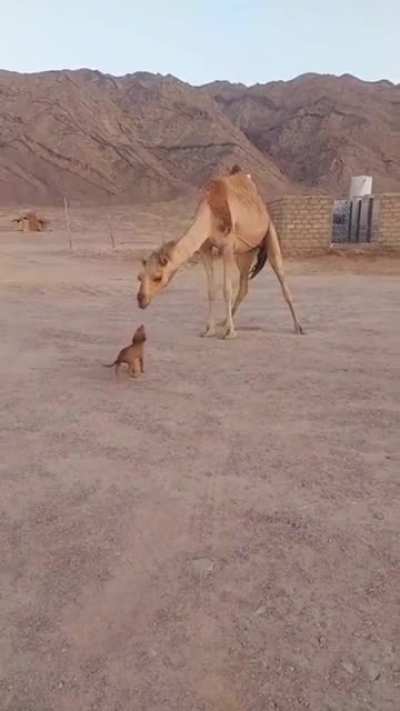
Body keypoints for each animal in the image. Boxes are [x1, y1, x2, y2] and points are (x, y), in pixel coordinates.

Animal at [137, 166, 303, 338]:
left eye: (157, 277)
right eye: (139, 277)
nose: (141, 300)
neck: (210, 216)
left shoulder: (227, 248)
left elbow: (226, 290)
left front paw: (230, 333)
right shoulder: (205, 249)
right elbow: (211, 290)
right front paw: (209, 330)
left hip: (269, 231)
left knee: (281, 276)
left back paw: (298, 327)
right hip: (245, 253)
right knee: (244, 286)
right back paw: (223, 322)